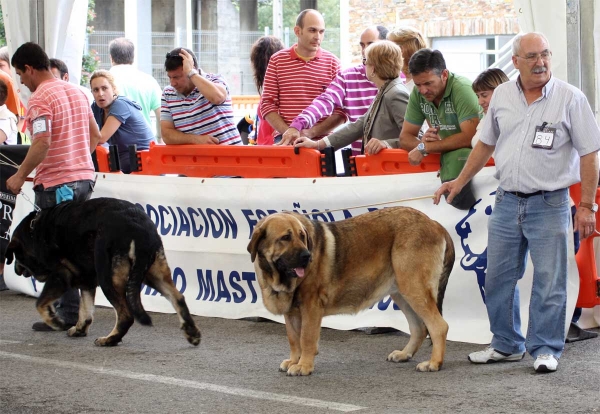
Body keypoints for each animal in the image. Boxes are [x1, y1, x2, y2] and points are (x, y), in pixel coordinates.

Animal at [4, 197, 200, 346]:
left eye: (18, 258)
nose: (16, 270)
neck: (34, 231)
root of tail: (138, 227)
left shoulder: (60, 275)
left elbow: (40, 303)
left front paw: (55, 321)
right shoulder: (86, 281)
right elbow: (85, 310)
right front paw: (79, 329)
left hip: (109, 280)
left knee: (126, 315)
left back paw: (110, 340)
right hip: (153, 274)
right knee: (178, 298)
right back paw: (191, 332)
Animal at [248, 207, 454, 376]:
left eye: (302, 236)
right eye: (285, 238)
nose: (307, 256)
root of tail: (434, 223)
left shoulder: (311, 307)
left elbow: (306, 338)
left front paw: (303, 366)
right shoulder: (291, 313)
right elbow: (293, 338)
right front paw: (294, 360)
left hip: (413, 288)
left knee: (438, 326)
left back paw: (434, 363)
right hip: (402, 292)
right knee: (419, 328)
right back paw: (405, 354)